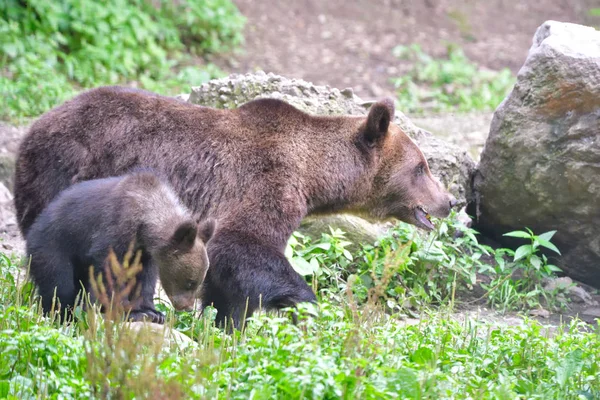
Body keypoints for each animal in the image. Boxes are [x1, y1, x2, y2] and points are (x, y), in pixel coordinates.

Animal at [26, 170, 218, 324]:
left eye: (199, 281)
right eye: (190, 282)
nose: (187, 307)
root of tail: (34, 227)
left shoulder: (144, 253)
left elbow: (144, 279)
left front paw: (153, 312)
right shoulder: (115, 231)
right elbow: (110, 273)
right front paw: (129, 311)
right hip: (54, 247)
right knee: (59, 285)